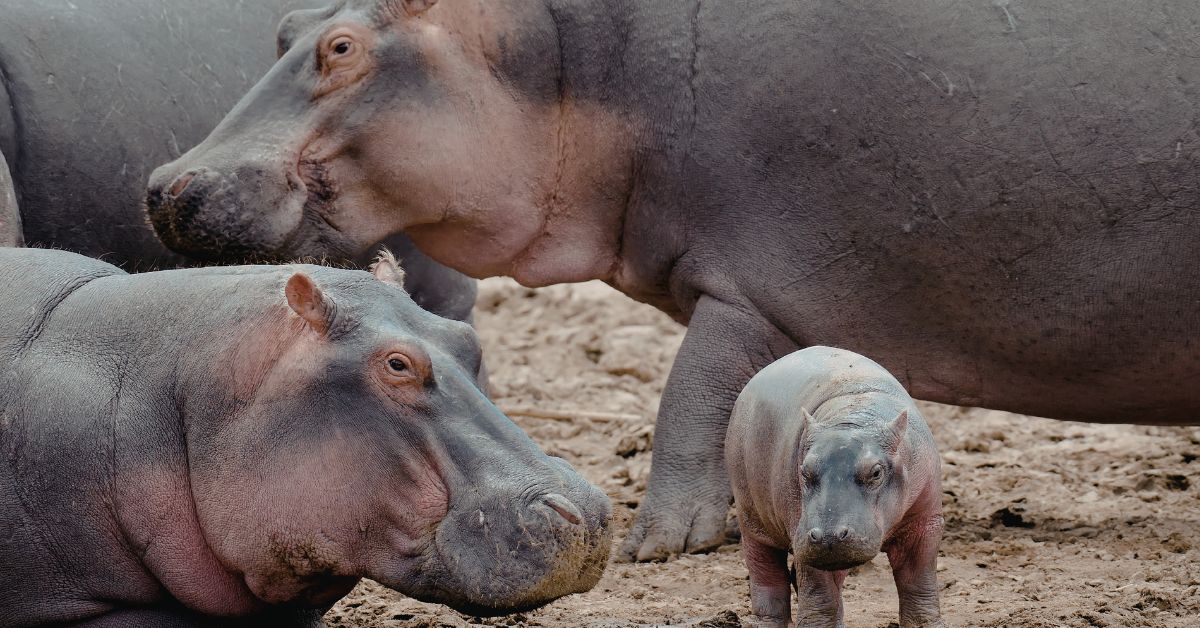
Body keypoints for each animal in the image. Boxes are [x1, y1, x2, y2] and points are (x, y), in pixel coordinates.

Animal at [144, 0, 1200, 561]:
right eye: (283, 25)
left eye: (343, 46)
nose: (164, 184)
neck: (559, 54)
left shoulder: (750, 285)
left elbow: (691, 398)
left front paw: (659, 543)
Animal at [727, 347, 944, 628]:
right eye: (804, 471)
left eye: (876, 472)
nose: (828, 535)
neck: (855, 415)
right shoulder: (804, 530)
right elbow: (819, 592)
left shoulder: (923, 521)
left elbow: (918, 580)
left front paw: (926, 623)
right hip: (752, 519)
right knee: (765, 573)